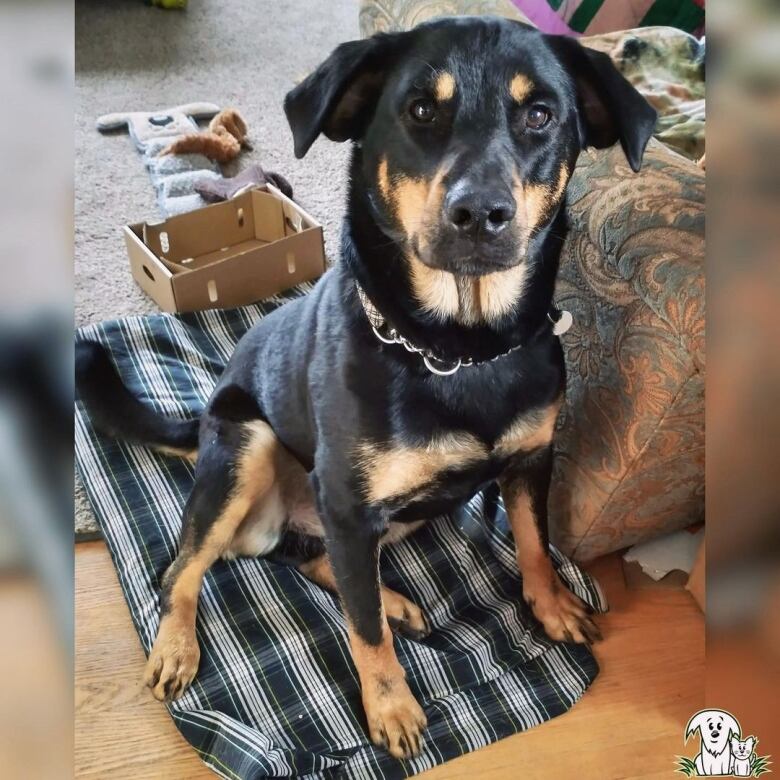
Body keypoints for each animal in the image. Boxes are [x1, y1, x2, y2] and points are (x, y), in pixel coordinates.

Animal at [76, 16, 656, 760]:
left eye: (540, 115)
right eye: (421, 111)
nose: (481, 213)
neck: (459, 348)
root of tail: (203, 417)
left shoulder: (531, 459)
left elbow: (531, 539)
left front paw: (551, 605)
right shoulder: (351, 506)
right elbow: (365, 633)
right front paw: (391, 707)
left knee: (317, 562)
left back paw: (395, 598)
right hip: (248, 447)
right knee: (186, 569)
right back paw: (178, 647)